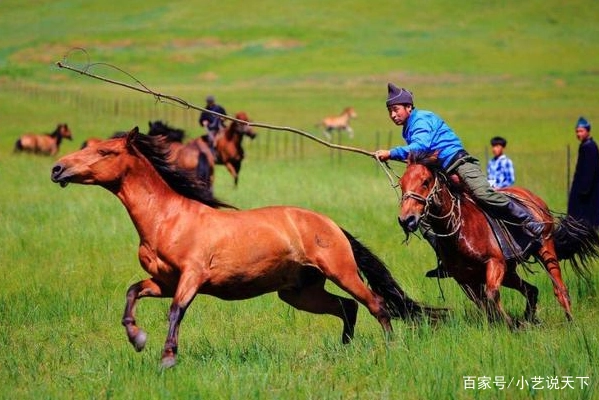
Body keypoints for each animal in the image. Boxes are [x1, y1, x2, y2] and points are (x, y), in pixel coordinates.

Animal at [50, 129, 446, 368]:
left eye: (104, 151)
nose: (57, 169)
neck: (168, 219)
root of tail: (331, 225)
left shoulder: (191, 277)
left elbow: (176, 312)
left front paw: (166, 358)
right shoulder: (163, 282)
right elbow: (132, 293)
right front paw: (137, 338)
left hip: (341, 272)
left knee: (375, 304)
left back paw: (391, 349)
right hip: (298, 292)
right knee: (346, 308)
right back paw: (344, 350)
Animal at [398, 152, 599, 326]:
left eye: (425, 181)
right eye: (401, 184)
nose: (406, 219)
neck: (458, 227)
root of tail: (533, 198)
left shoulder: (495, 263)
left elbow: (492, 296)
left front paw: (510, 324)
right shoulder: (464, 279)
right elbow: (484, 304)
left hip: (545, 249)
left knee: (559, 287)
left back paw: (570, 321)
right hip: (510, 272)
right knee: (531, 290)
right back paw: (530, 320)